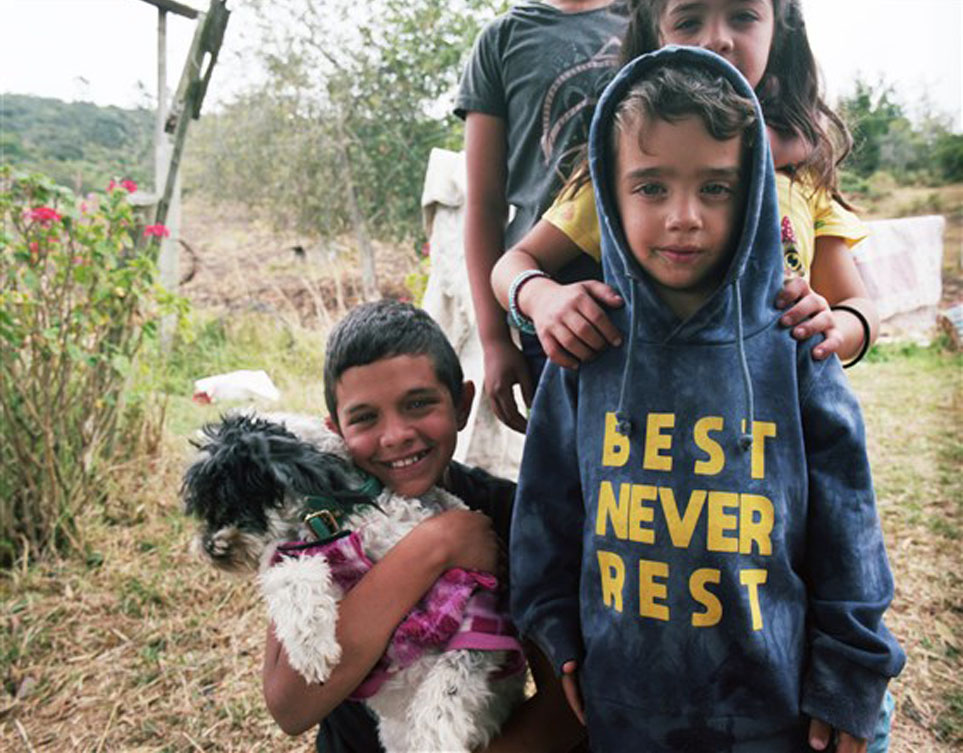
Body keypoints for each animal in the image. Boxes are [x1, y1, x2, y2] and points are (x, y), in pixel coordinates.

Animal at [181, 412, 528, 752]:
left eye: (230, 495)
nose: (208, 546)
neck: (333, 522)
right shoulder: (309, 563)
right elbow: (290, 577)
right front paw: (311, 648)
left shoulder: (477, 602)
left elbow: (449, 682)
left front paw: (433, 739)